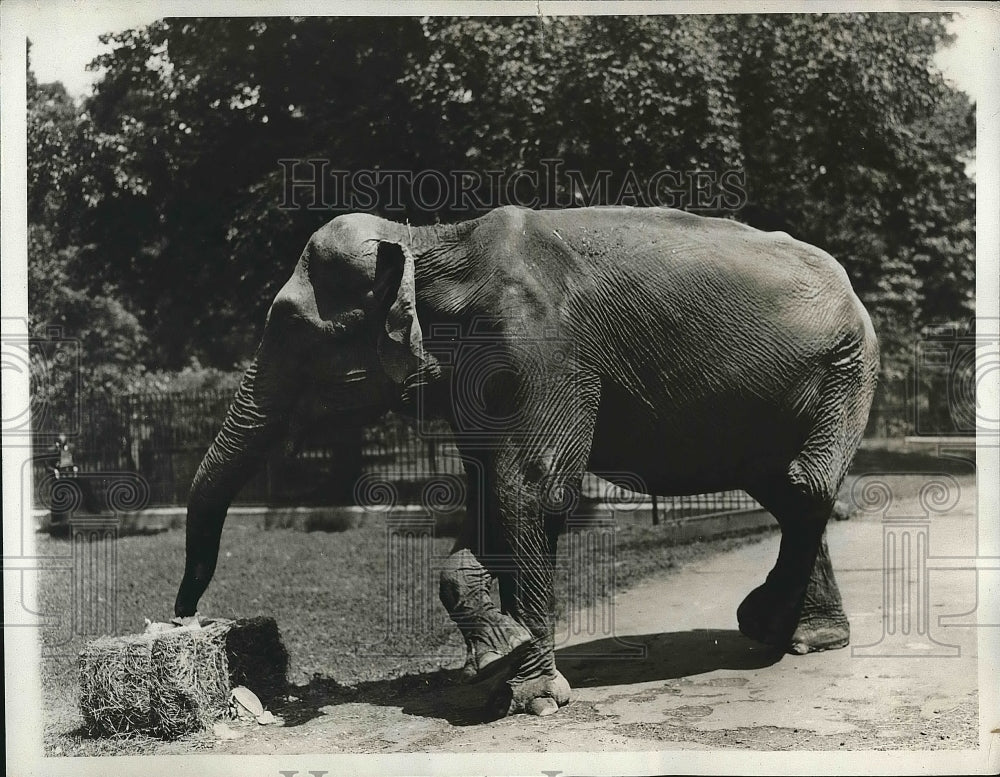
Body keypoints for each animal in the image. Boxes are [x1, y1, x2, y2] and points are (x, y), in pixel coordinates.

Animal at [176, 205, 880, 716]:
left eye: (297, 331)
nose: (185, 617)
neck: (432, 240)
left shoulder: (539, 348)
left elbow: (534, 491)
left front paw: (535, 698)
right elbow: (487, 492)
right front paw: (499, 658)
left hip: (845, 368)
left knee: (803, 485)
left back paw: (766, 625)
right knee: (788, 492)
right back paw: (806, 638)